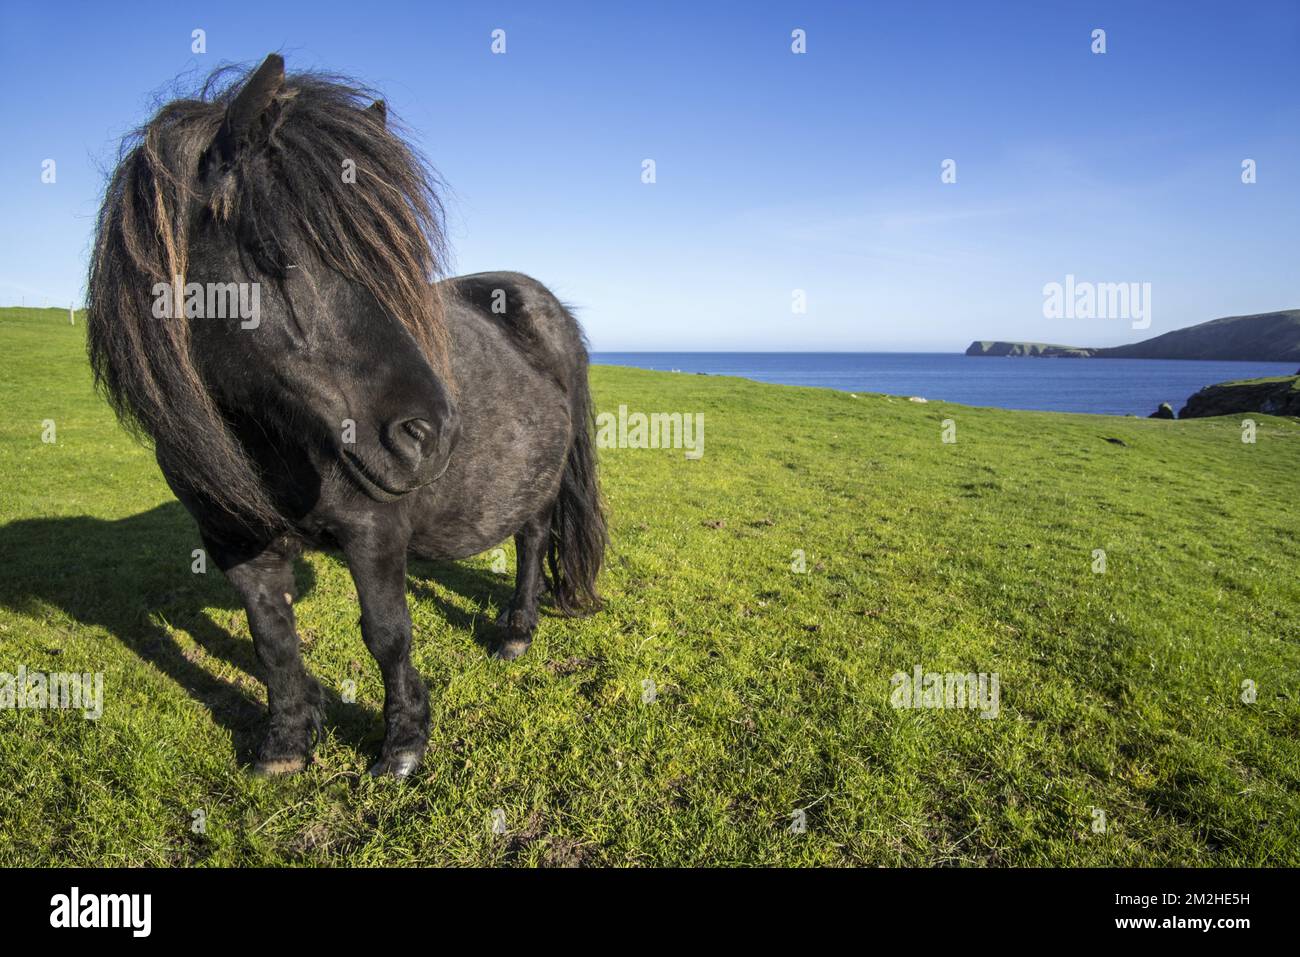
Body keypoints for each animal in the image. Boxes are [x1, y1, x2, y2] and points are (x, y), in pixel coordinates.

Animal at [89, 54, 605, 780]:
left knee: (532, 538)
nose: (431, 435)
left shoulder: (374, 531)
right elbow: (271, 639)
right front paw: (285, 743)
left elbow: (387, 634)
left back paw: (516, 631)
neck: (272, 437)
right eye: (273, 254)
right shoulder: (234, 541)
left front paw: (403, 744)